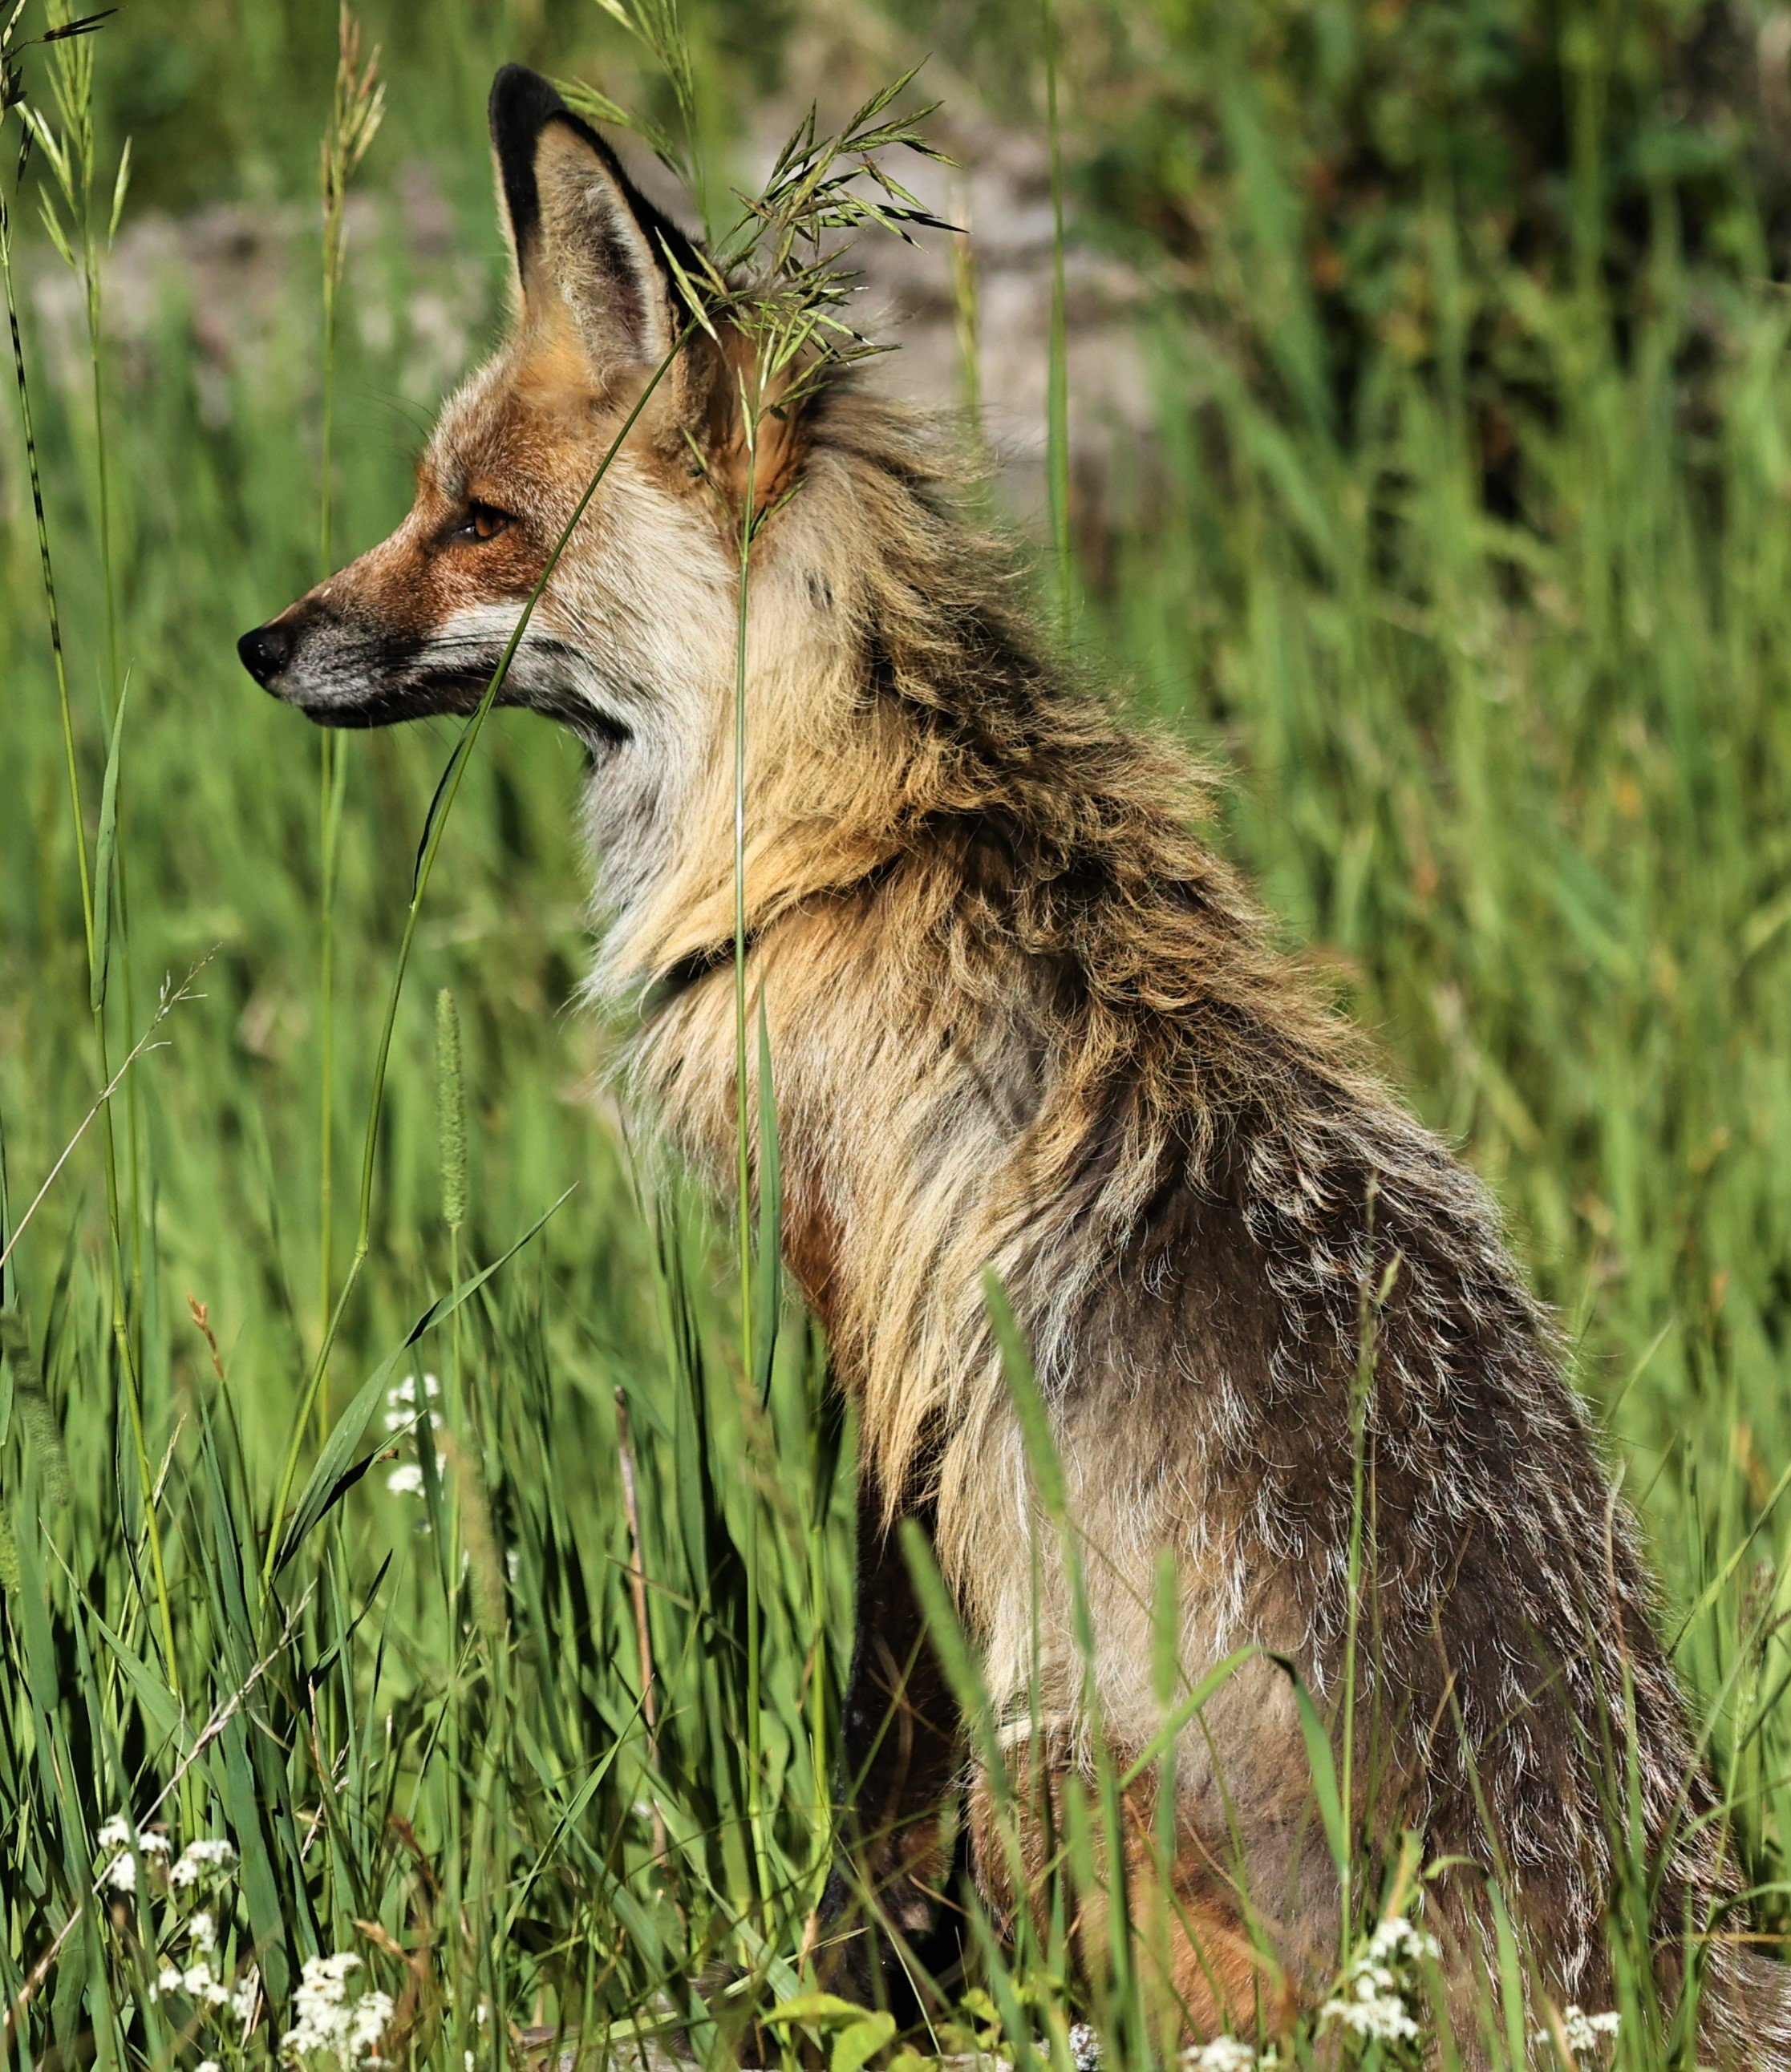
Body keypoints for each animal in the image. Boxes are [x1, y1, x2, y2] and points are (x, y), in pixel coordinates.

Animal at [238, 63, 1791, 2063]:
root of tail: (1610, 1957)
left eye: (484, 518)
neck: (855, 840)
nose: (265, 641)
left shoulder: (889, 1374)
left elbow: (865, 1795)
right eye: (428, 498)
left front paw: (814, 1999)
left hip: (1044, 1774)